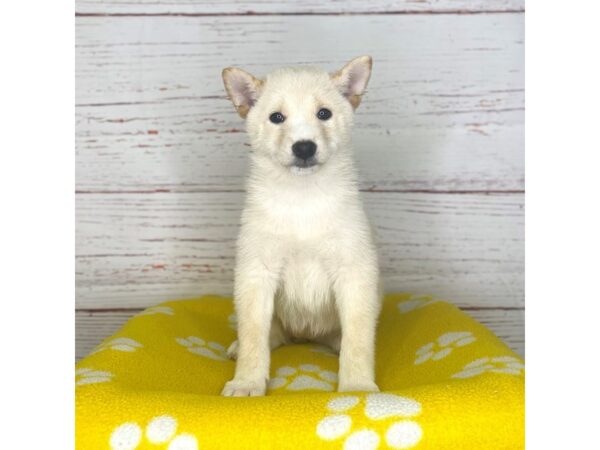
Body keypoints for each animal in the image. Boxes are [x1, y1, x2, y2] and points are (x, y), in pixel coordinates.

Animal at [219, 57, 380, 398]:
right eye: (276, 117)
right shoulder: (257, 273)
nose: (304, 148)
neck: (302, 198)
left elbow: (358, 341)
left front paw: (357, 386)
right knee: (270, 335)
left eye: (324, 113)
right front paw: (247, 382)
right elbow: (253, 336)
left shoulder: (353, 273)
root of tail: (306, 335)